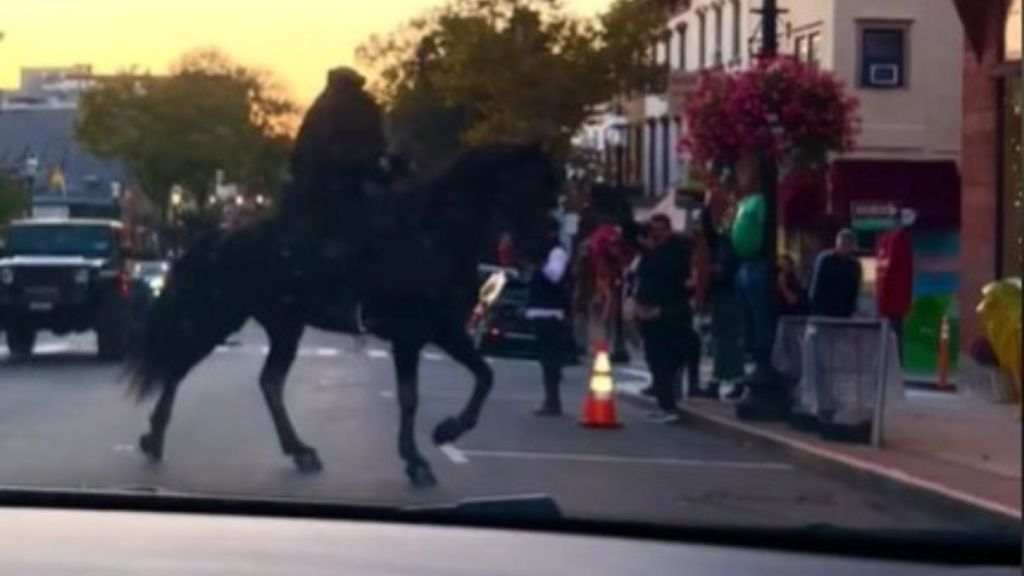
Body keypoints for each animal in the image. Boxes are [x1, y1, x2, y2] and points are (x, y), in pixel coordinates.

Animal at [130, 142, 561, 483]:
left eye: (552, 192)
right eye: (529, 188)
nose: (545, 248)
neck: (431, 237)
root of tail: (219, 237)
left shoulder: (442, 330)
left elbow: (483, 376)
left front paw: (440, 437)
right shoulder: (415, 334)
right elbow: (416, 396)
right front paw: (427, 450)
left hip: (283, 326)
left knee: (266, 381)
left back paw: (297, 450)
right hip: (222, 316)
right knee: (180, 365)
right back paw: (155, 438)